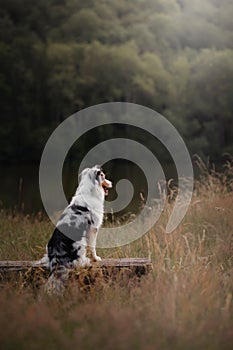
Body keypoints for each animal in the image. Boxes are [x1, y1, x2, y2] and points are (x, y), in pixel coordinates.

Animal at [44, 165, 113, 294]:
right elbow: (93, 247)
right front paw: (96, 258)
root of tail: (56, 255)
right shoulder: (93, 229)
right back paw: (85, 260)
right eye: (103, 176)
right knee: (78, 261)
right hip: (80, 242)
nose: (111, 183)